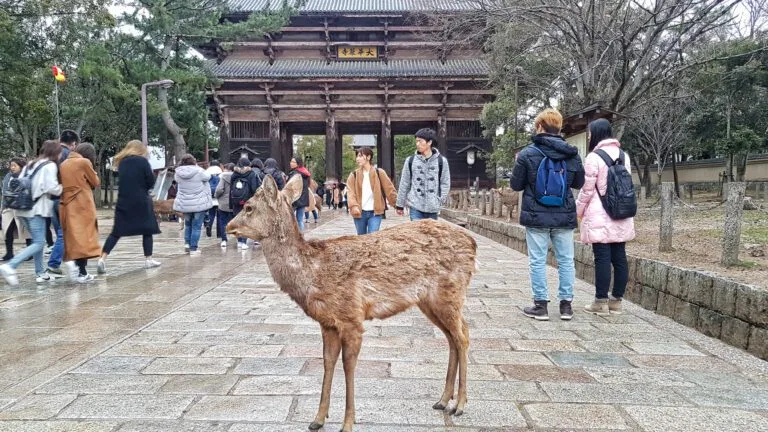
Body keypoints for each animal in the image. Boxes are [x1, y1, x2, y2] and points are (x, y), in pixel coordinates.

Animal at [227, 174, 477, 432]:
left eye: (248, 207)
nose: (228, 227)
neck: (314, 274)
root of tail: (472, 243)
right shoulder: (327, 322)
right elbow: (327, 362)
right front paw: (318, 419)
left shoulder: (351, 317)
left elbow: (348, 365)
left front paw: (347, 423)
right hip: (430, 301)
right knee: (452, 337)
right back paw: (443, 400)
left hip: (450, 292)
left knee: (463, 336)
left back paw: (459, 405)